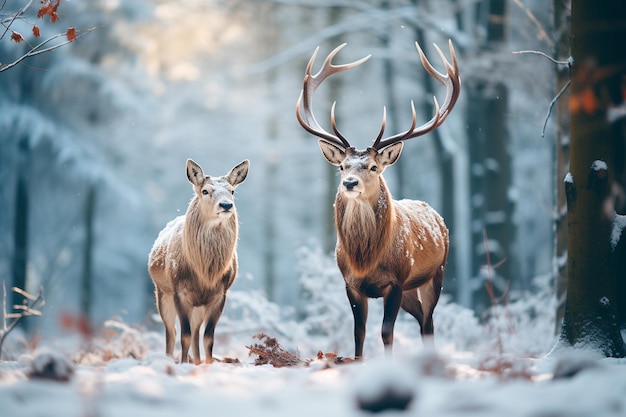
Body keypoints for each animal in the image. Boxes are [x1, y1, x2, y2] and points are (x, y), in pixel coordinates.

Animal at [149, 158, 249, 362]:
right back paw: (170, 358)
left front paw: (208, 364)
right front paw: (182, 364)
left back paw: (196, 361)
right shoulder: (180, 292)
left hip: (198, 305)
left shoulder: (219, 295)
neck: (205, 274)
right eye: (205, 191)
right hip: (162, 293)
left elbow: (208, 338)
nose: (226, 205)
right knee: (171, 332)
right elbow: (184, 335)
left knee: (196, 333)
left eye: (232, 191)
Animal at [294, 40, 460, 356]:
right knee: (423, 319)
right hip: (410, 290)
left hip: (436, 273)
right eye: (342, 166)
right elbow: (358, 332)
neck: (365, 258)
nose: (349, 182)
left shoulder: (395, 281)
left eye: (372, 167)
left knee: (428, 322)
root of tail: (438, 218)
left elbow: (386, 332)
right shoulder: (351, 284)